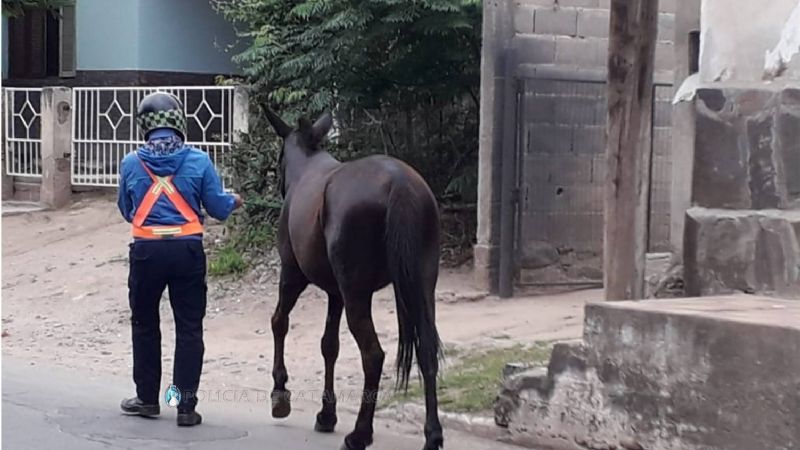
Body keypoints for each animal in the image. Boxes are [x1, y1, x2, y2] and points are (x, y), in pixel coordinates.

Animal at [261, 105, 444, 450]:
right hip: (421, 282)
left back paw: (360, 433)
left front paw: (280, 393)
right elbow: (329, 345)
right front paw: (326, 413)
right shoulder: (336, 292)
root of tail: (400, 183)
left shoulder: (292, 274)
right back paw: (433, 434)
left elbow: (279, 322)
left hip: (356, 291)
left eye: (277, 158)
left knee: (373, 355)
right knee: (427, 349)